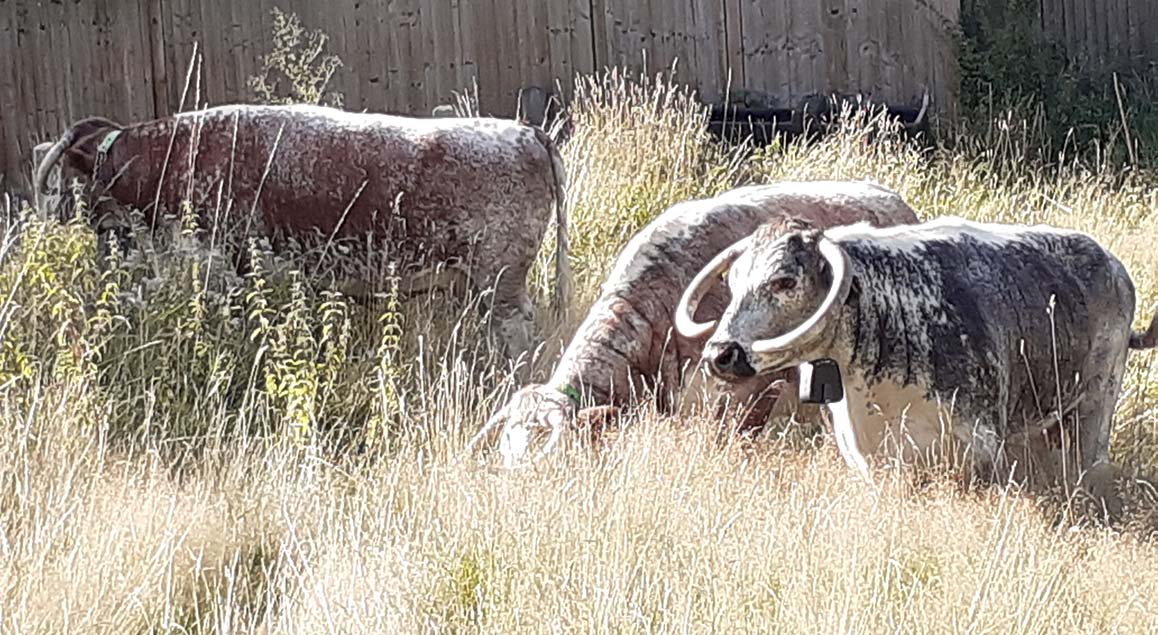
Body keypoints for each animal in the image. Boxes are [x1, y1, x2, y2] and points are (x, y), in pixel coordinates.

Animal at [33, 103, 572, 360]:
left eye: (72, 178)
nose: (61, 216)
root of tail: (526, 132)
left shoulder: (222, 263)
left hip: (500, 278)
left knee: (516, 329)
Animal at [677, 215, 1158, 485]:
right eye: (733, 280)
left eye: (783, 281)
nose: (720, 354)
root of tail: (1111, 265)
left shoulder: (977, 451)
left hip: (1093, 410)